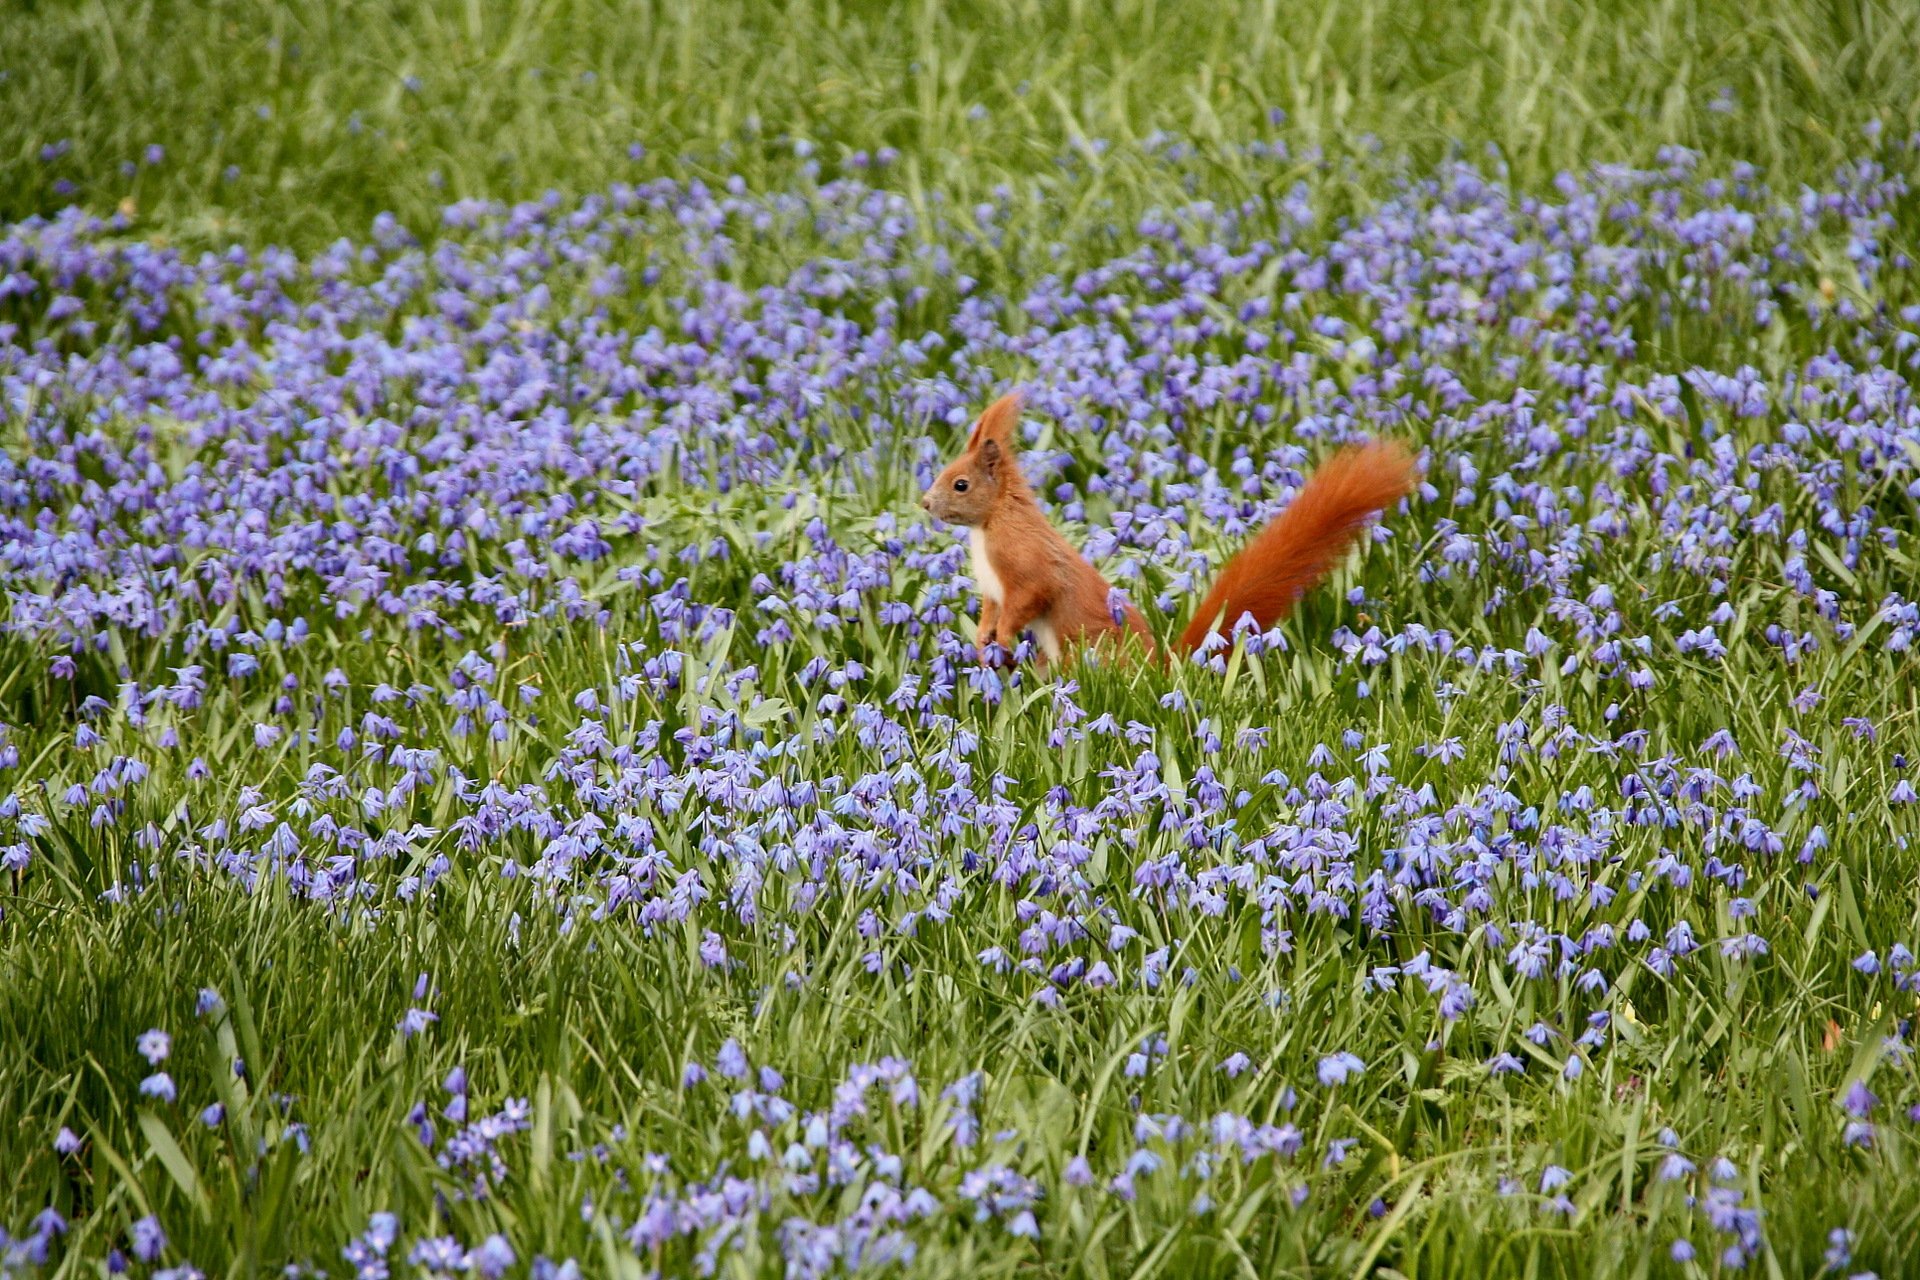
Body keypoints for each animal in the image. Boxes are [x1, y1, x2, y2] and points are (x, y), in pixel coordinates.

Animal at [921, 391, 1420, 671]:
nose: (925, 503)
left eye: (960, 484)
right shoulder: (993, 587)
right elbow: (991, 610)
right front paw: (983, 638)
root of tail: (1160, 672)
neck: (989, 526)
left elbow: (1029, 598)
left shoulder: (1025, 564)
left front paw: (1003, 638)